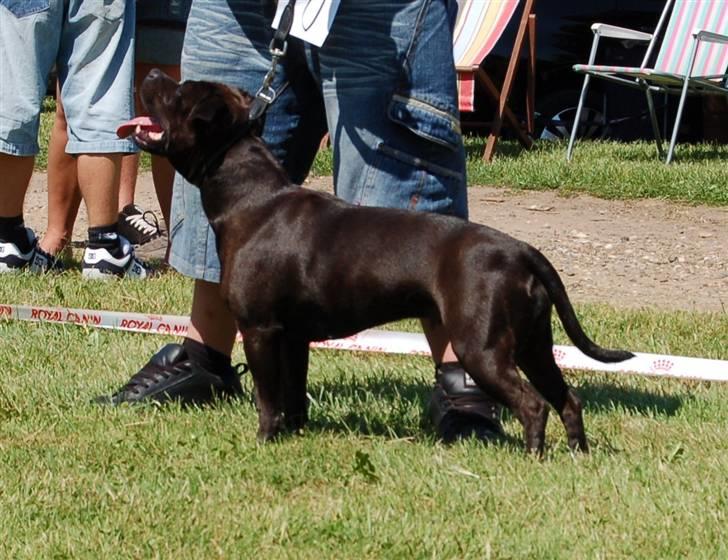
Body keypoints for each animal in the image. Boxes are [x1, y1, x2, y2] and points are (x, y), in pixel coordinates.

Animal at [125, 71, 632, 456]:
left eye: (177, 94)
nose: (149, 75)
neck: (251, 197)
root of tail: (521, 249)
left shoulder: (260, 330)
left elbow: (268, 398)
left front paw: (265, 441)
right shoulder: (294, 337)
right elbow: (293, 394)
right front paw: (295, 434)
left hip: (482, 348)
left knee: (533, 404)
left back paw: (533, 456)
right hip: (533, 345)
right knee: (567, 398)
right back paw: (577, 455)